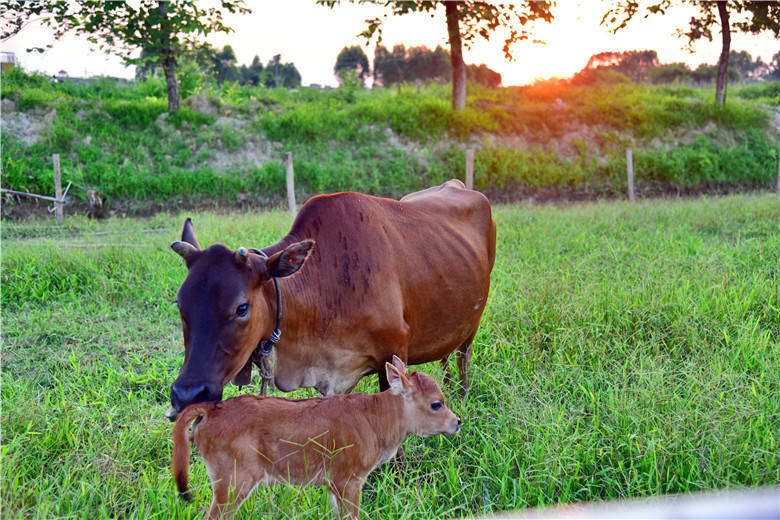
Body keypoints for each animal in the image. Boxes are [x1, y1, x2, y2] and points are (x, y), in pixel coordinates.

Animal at [166, 181, 494, 420]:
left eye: (241, 307)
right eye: (181, 305)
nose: (187, 395)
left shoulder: (394, 351)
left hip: (473, 323)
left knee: (463, 357)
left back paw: (461, 396)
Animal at [171, 358, 460, 520]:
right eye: (436, 404)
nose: (458, 422)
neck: (376, 418)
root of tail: (212, 409)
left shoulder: (333, 484)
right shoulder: (349, 481)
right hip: (232, 484)